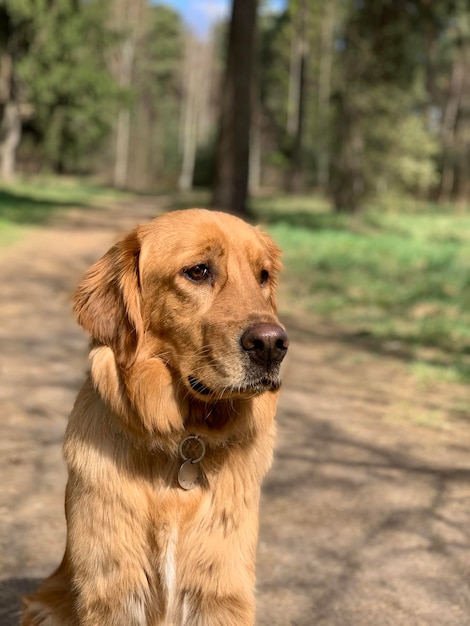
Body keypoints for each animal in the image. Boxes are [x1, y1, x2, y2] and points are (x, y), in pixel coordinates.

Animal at [22, 210, 288, 624]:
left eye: (263, 275)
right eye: (198, 271)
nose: (273, 346)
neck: (183, 441)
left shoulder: (220, 590)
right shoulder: (113, 589)